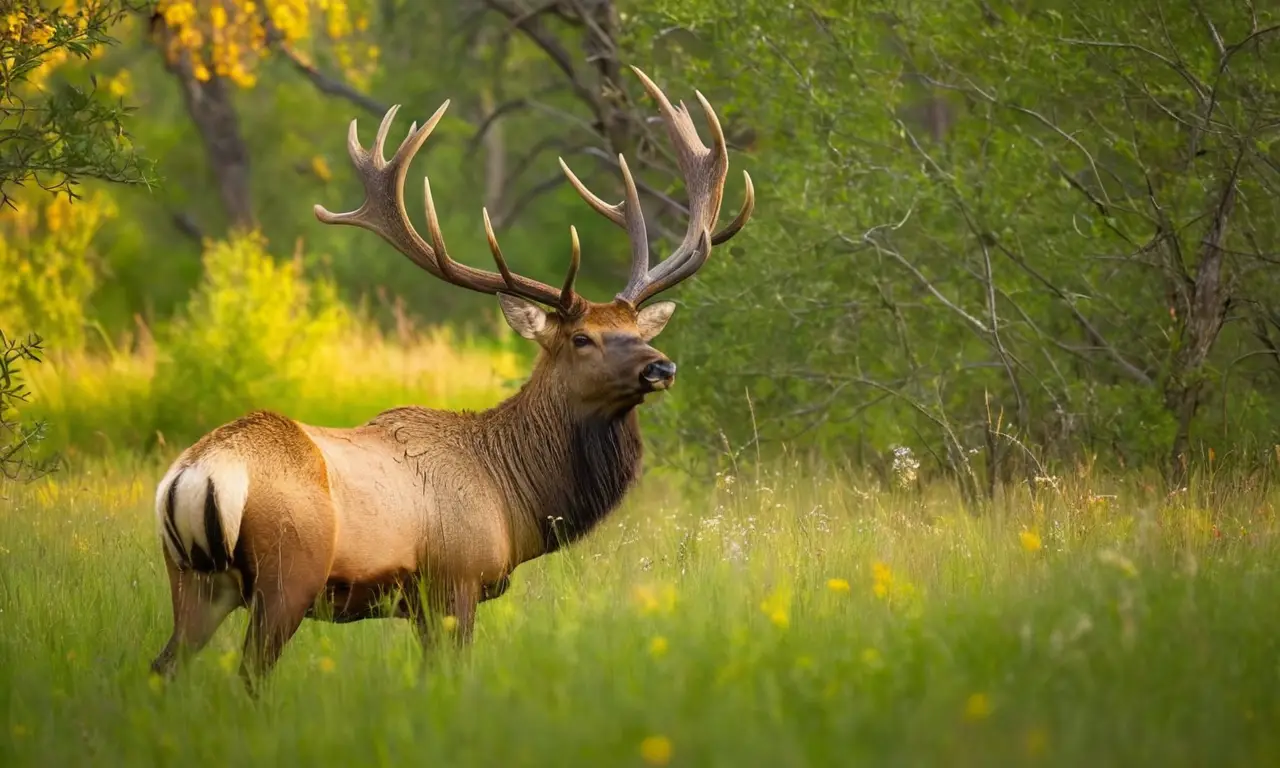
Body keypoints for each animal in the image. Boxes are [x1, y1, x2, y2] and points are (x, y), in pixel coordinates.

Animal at [147, 66, 754, 691]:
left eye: (637, 328)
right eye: (582, 338)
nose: (662, 366)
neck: (513, 500)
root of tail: (194, 474)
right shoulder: (454, 580)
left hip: (194, 578)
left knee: (165, 664)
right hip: (287, 574)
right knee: (250, 671)